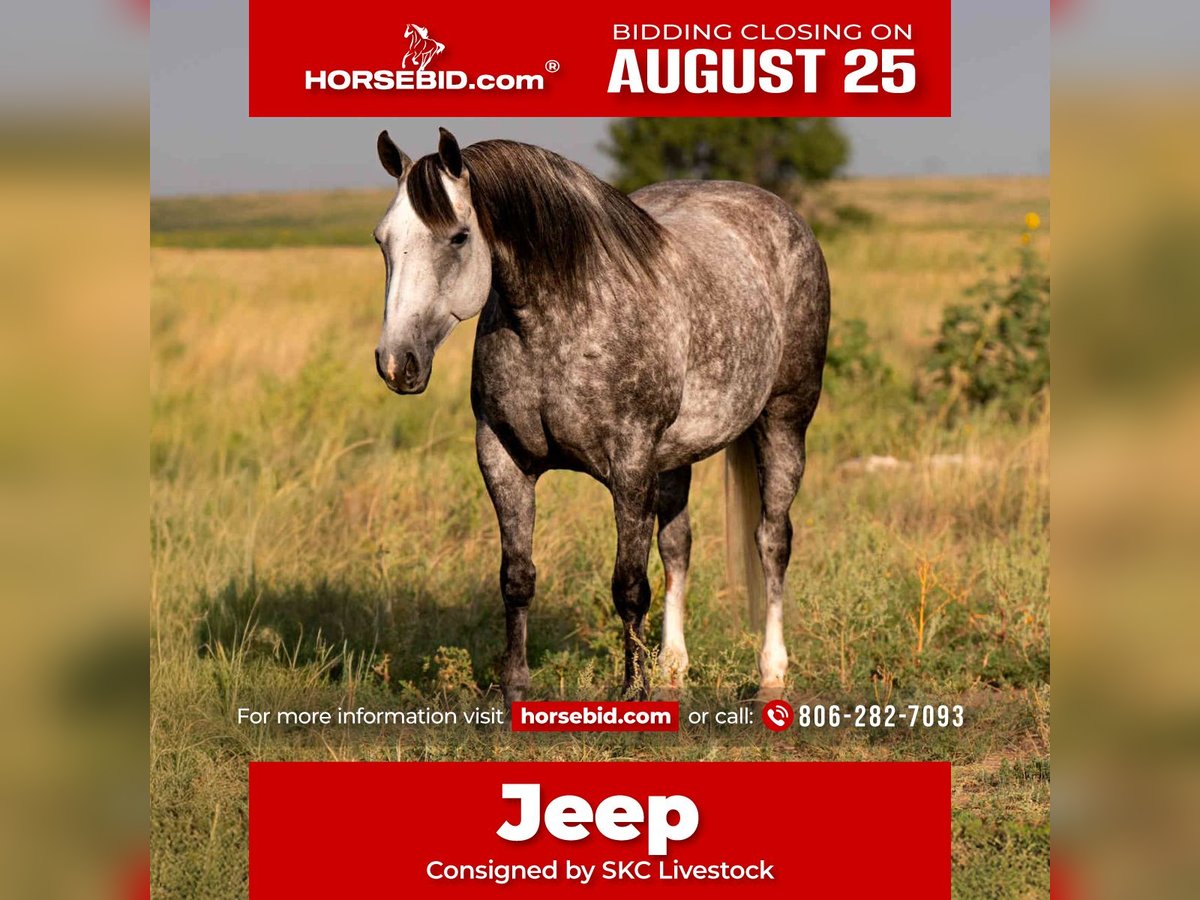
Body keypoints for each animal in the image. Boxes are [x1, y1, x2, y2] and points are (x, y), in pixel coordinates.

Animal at [372, 128, 830, 703]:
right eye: (382, 239)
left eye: (458, 238)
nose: (396, 362)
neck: (558, 320)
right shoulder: (502, 458)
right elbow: (517, 577)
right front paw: (515, 688)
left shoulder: (630, 465)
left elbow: (629, 584)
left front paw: (632, 692)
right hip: (674, 457)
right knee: (677, 546)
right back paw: (672, 669)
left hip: (784, 422)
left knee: (772, 541)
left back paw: (771, 674)